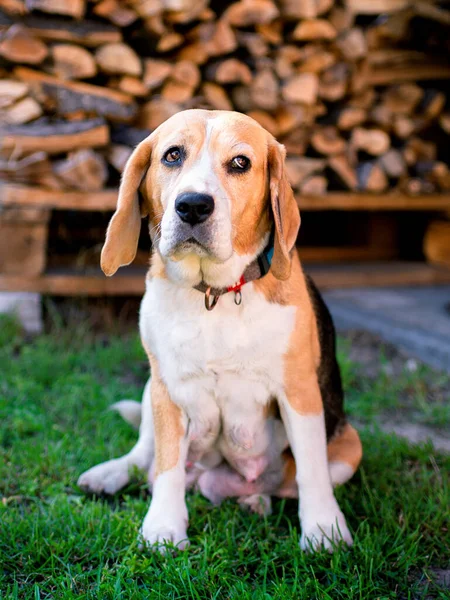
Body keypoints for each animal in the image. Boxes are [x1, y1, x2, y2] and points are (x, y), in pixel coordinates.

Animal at [78, 109, 362, 552]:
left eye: (240, 163)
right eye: (172, 155)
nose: (193, 205)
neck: (215, 294)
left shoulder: (300, 392)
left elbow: (311, 469)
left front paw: (323, 530)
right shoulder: (168, 388)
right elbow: (167, 465)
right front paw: (163, 527)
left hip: (351, 448)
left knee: (285, 481)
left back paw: (256, 500)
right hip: (150, 387)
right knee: (144, 457)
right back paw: (110, 474)